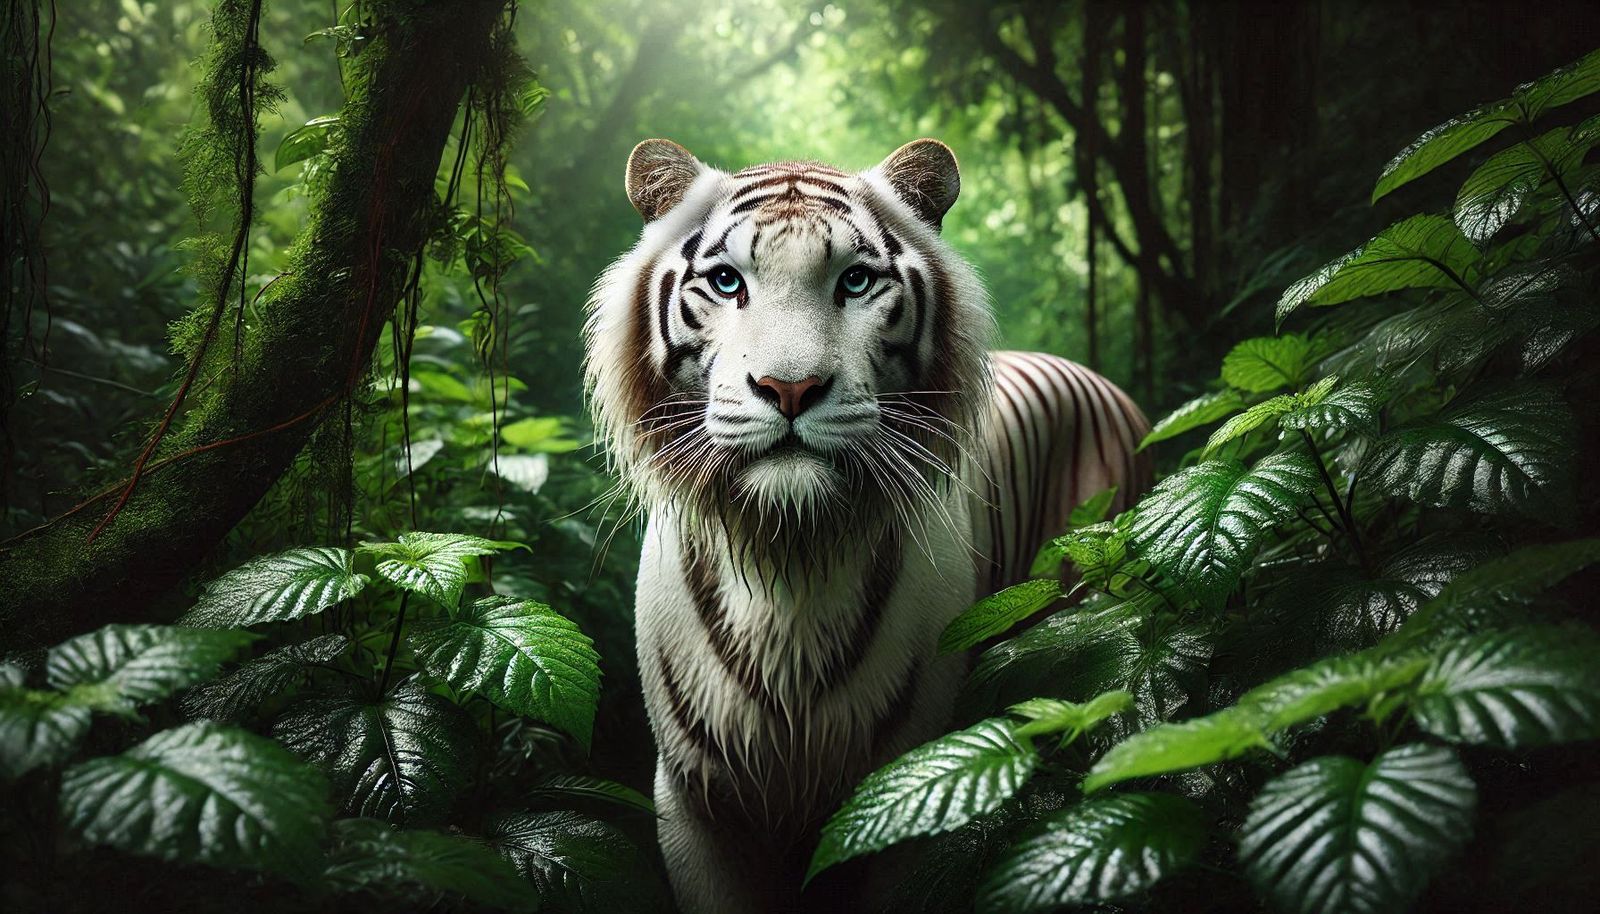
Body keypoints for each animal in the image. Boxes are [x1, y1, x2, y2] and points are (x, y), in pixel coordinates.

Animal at [584, 137, 1150, 913]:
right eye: (727, 282)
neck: (790, 557)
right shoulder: (698, 801)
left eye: (854, 282)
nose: (790, 387)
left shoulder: (904, 794)